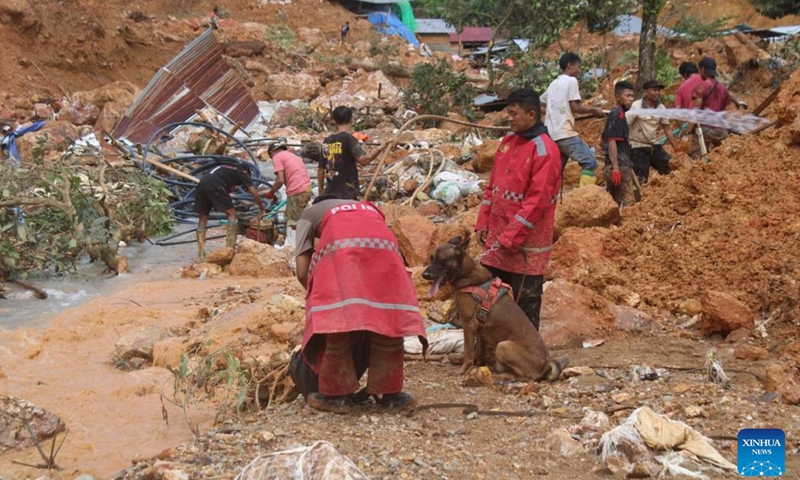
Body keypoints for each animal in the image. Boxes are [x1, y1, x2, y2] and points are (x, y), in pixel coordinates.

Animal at [422, 237, 564, 382]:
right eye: (431, 258)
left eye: (441, 260)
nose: (424, 274)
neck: (467, 274)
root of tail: (545, 365)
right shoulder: (479, 329)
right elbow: (479, 350)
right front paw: (477, 365)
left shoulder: (469, 325)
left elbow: (468, 352)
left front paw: (462, 370)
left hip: (502, 346)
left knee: (524, 377)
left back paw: (503, 375)